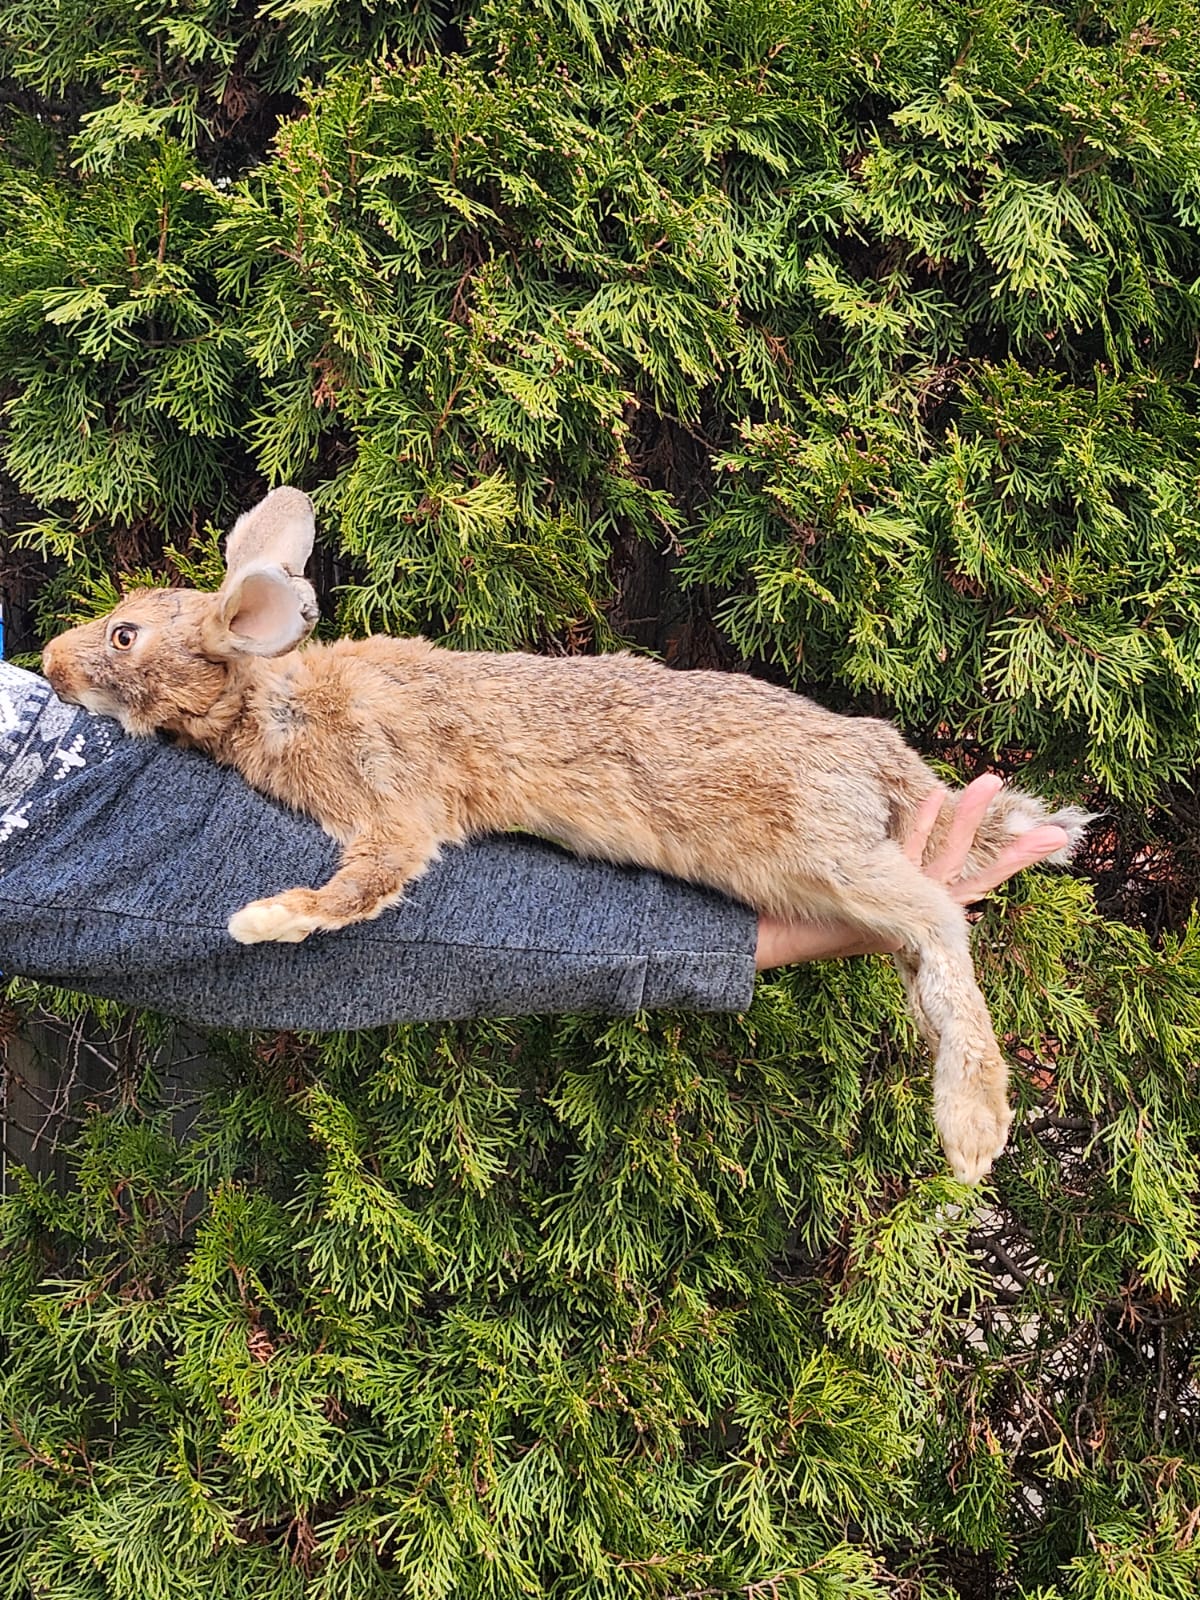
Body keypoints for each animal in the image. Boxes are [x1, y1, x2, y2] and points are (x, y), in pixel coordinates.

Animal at [42, 487, 1092, 1184]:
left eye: (126, 636)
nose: (49, 664)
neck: (269, 694)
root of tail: (884, 762)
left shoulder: (392, 802)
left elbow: (368, 881)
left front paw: (264, 919)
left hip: (820, 850)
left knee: (943, 930)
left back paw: (973, 1129)